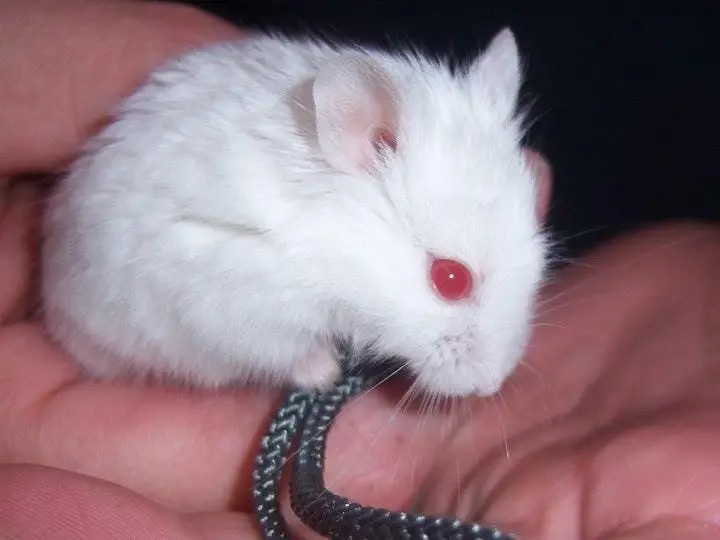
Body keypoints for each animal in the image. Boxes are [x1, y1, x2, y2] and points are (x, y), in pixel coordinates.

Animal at [40, 28, 549, 398]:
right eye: (450, 279)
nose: (490, 386)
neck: (336, 252)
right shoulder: (236, 305)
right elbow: (287, 351)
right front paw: (326, 373)